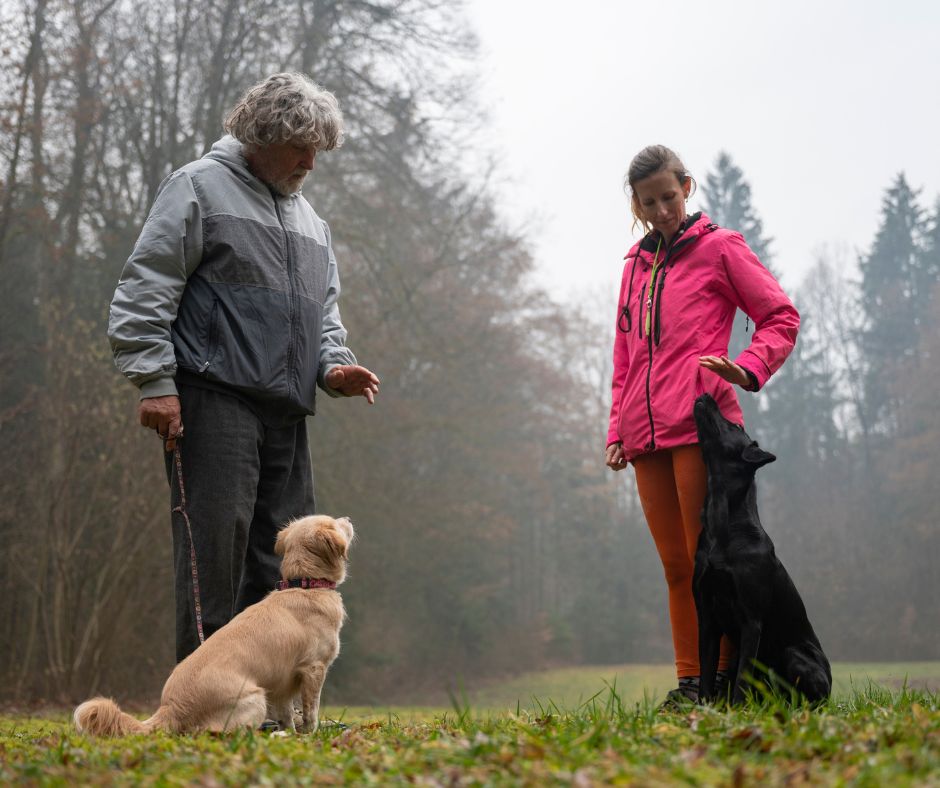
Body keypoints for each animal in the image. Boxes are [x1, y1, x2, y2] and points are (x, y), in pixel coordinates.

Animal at [73, 516, 352, 736]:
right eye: (335, 523)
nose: (348, 518)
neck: (305, 584)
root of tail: (171, 708)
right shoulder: (314, 669)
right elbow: (311, 712)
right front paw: (310, 735)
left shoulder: (281, 683)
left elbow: (287, 715)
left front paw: (294, 734)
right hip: (254, 699)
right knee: (222, 734)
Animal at [692, 398, 828, 704]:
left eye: (734, 425)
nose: (705, 396)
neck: (721, 522)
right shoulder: (706, 616)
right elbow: (706, 673)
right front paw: (705, 708)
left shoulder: (751, 620)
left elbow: (743, 679)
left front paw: (737, 709)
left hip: (794, 655)